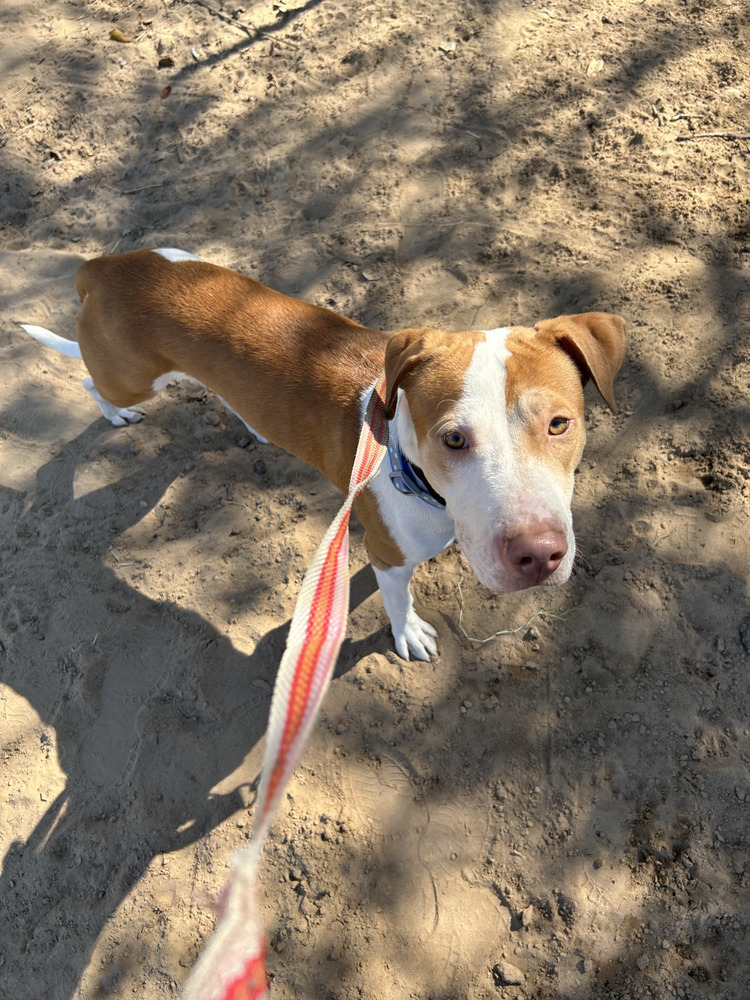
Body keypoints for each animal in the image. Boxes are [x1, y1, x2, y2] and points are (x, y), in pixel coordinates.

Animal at [19, 246, 628, 660]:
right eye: (453, 439)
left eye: (559, 424)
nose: (538, 556)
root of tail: (103, 267)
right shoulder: (387, 554)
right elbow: (397, 599)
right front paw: (408, 633)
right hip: (129, 378)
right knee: (89, 382)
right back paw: (114, 415)